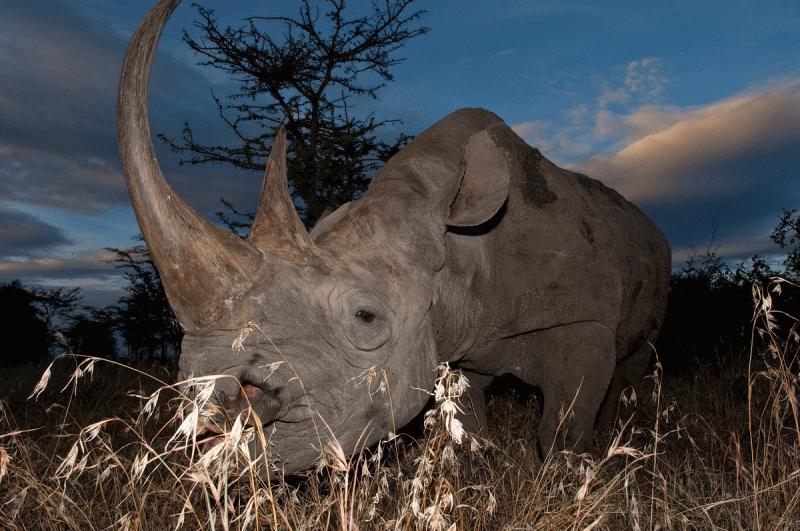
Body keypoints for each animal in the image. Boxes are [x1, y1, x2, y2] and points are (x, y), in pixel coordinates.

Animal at [119, 0, 668, 474]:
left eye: (366, 317)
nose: (213, 403)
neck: (459, 247)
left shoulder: (584, 318)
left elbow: (563, 426)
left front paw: (566, 475)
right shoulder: (454, 344)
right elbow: (468, 422)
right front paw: (481, 467)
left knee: (633, 361)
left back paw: (618, 429)